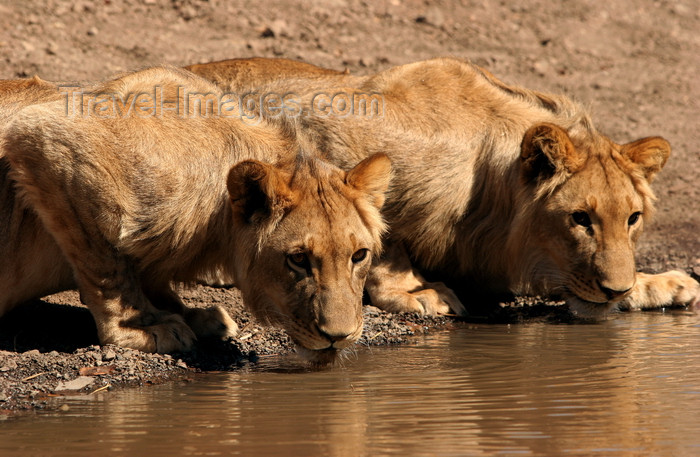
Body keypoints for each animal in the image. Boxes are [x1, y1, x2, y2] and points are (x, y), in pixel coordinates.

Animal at [0, 67, 392, 364]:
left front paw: (193, 315)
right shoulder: (50, 137)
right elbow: (108, 266)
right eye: (297, 259)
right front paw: (140, 325)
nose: (338, 337)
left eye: (359, 256)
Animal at [186, 55, 700, 316]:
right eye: (579, 219)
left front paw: (658, 283)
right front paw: (417, 291)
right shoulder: (319, 126)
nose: (615, 290)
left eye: (632, 219)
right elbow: (384, 236)